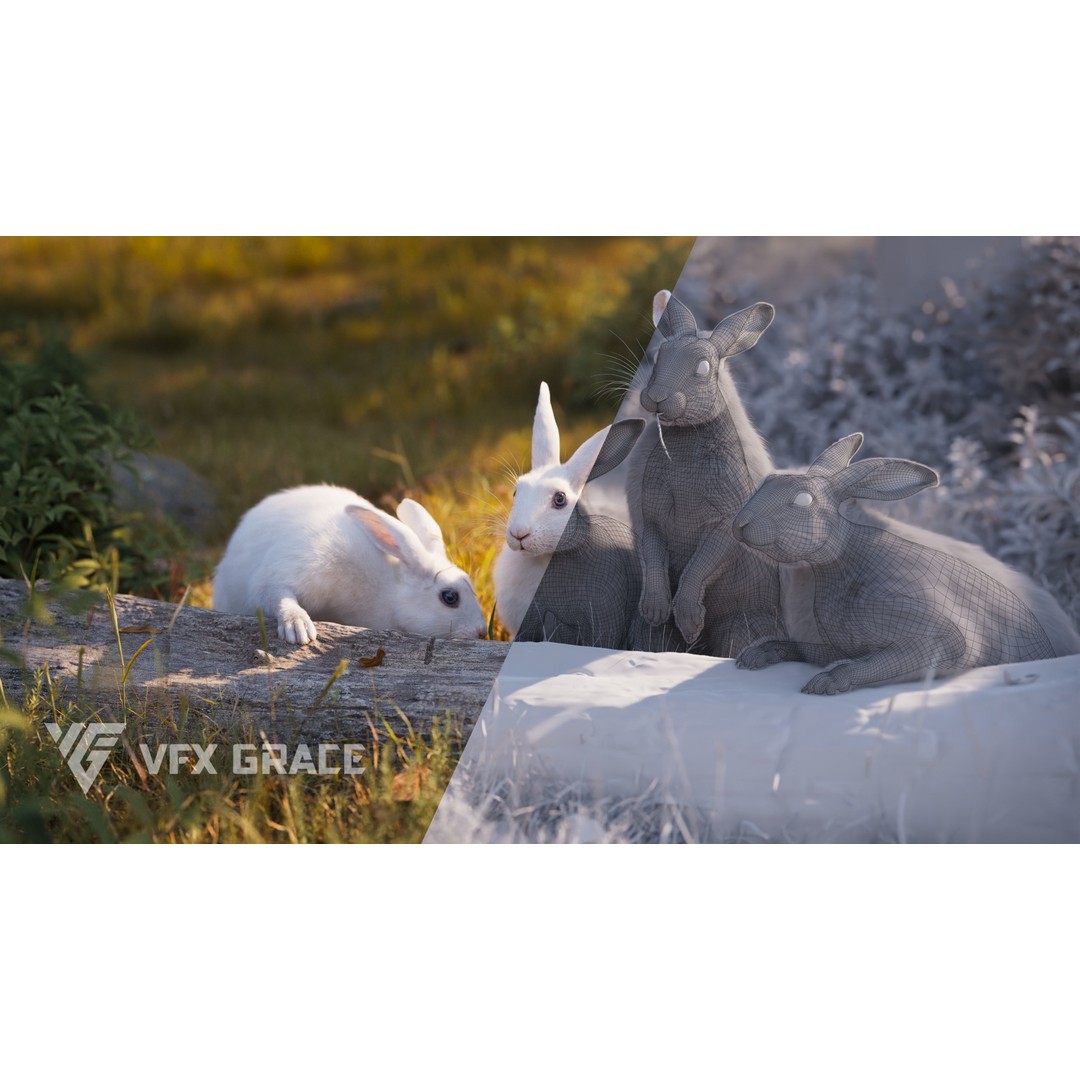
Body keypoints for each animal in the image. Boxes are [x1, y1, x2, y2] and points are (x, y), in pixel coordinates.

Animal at [213, 484, 487, 645]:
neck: (386, 591)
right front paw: (298, 627)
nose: (481, 632)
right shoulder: (285, 570)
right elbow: (278, 595)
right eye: (450, 597)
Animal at [632, 291, 785, 656]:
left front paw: (689, 622)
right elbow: (654, 555)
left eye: (702, 368)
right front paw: (656, 610)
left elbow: (700, 566)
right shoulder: (651, 516)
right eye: (657, 356)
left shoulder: (726, 523)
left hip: (744, 625)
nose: (656, 398)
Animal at [732, 432, 1080, 694]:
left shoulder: (935, 635)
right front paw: (755, 655)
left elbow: (877, 664)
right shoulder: (839, 646)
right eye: (766, 481)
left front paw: (825, 683)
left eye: (803, 499)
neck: (842, 560)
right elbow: (801, 647)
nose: (740, 524)